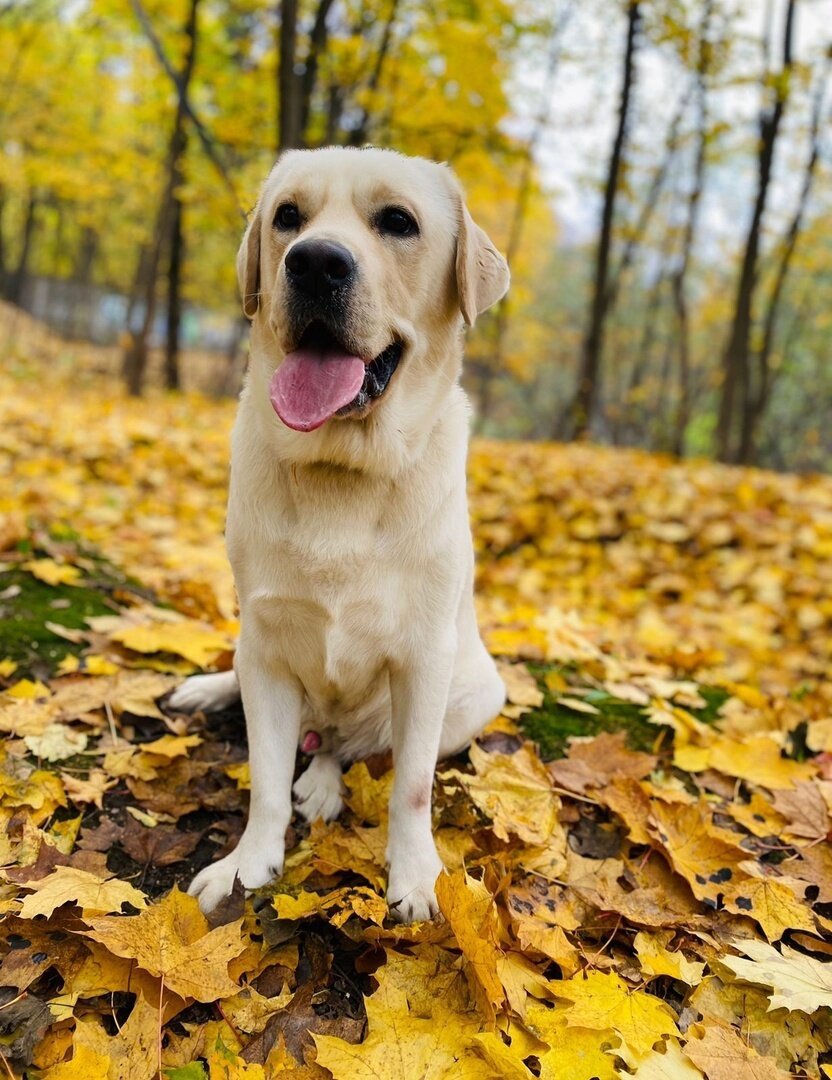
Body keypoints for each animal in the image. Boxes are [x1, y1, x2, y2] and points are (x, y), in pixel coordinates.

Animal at [167, 145, 505, 920]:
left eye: (398, 222)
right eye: (288, 216)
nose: (315, 261)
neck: (341, 472)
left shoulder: (423, 659)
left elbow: (410, 788)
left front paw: (416, 877)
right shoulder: (265, 644)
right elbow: (264, 780)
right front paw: (245, 865)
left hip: (476, 695)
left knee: (347, 747)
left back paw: (323, 780)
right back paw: (209, 691)